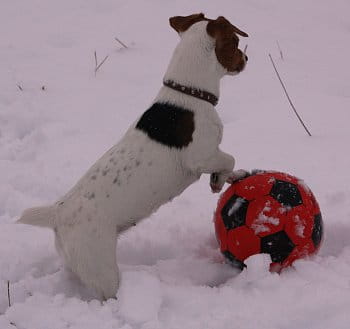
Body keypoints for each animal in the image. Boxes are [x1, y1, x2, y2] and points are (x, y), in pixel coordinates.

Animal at [17, 13, 249, 300]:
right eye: (235, 42)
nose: (246, 58)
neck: (188, 93)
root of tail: (58, 213)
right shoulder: (202, 156)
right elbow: (229, 158)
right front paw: (219, 180)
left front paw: (235, 177)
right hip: (101, 267)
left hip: (76, 260)